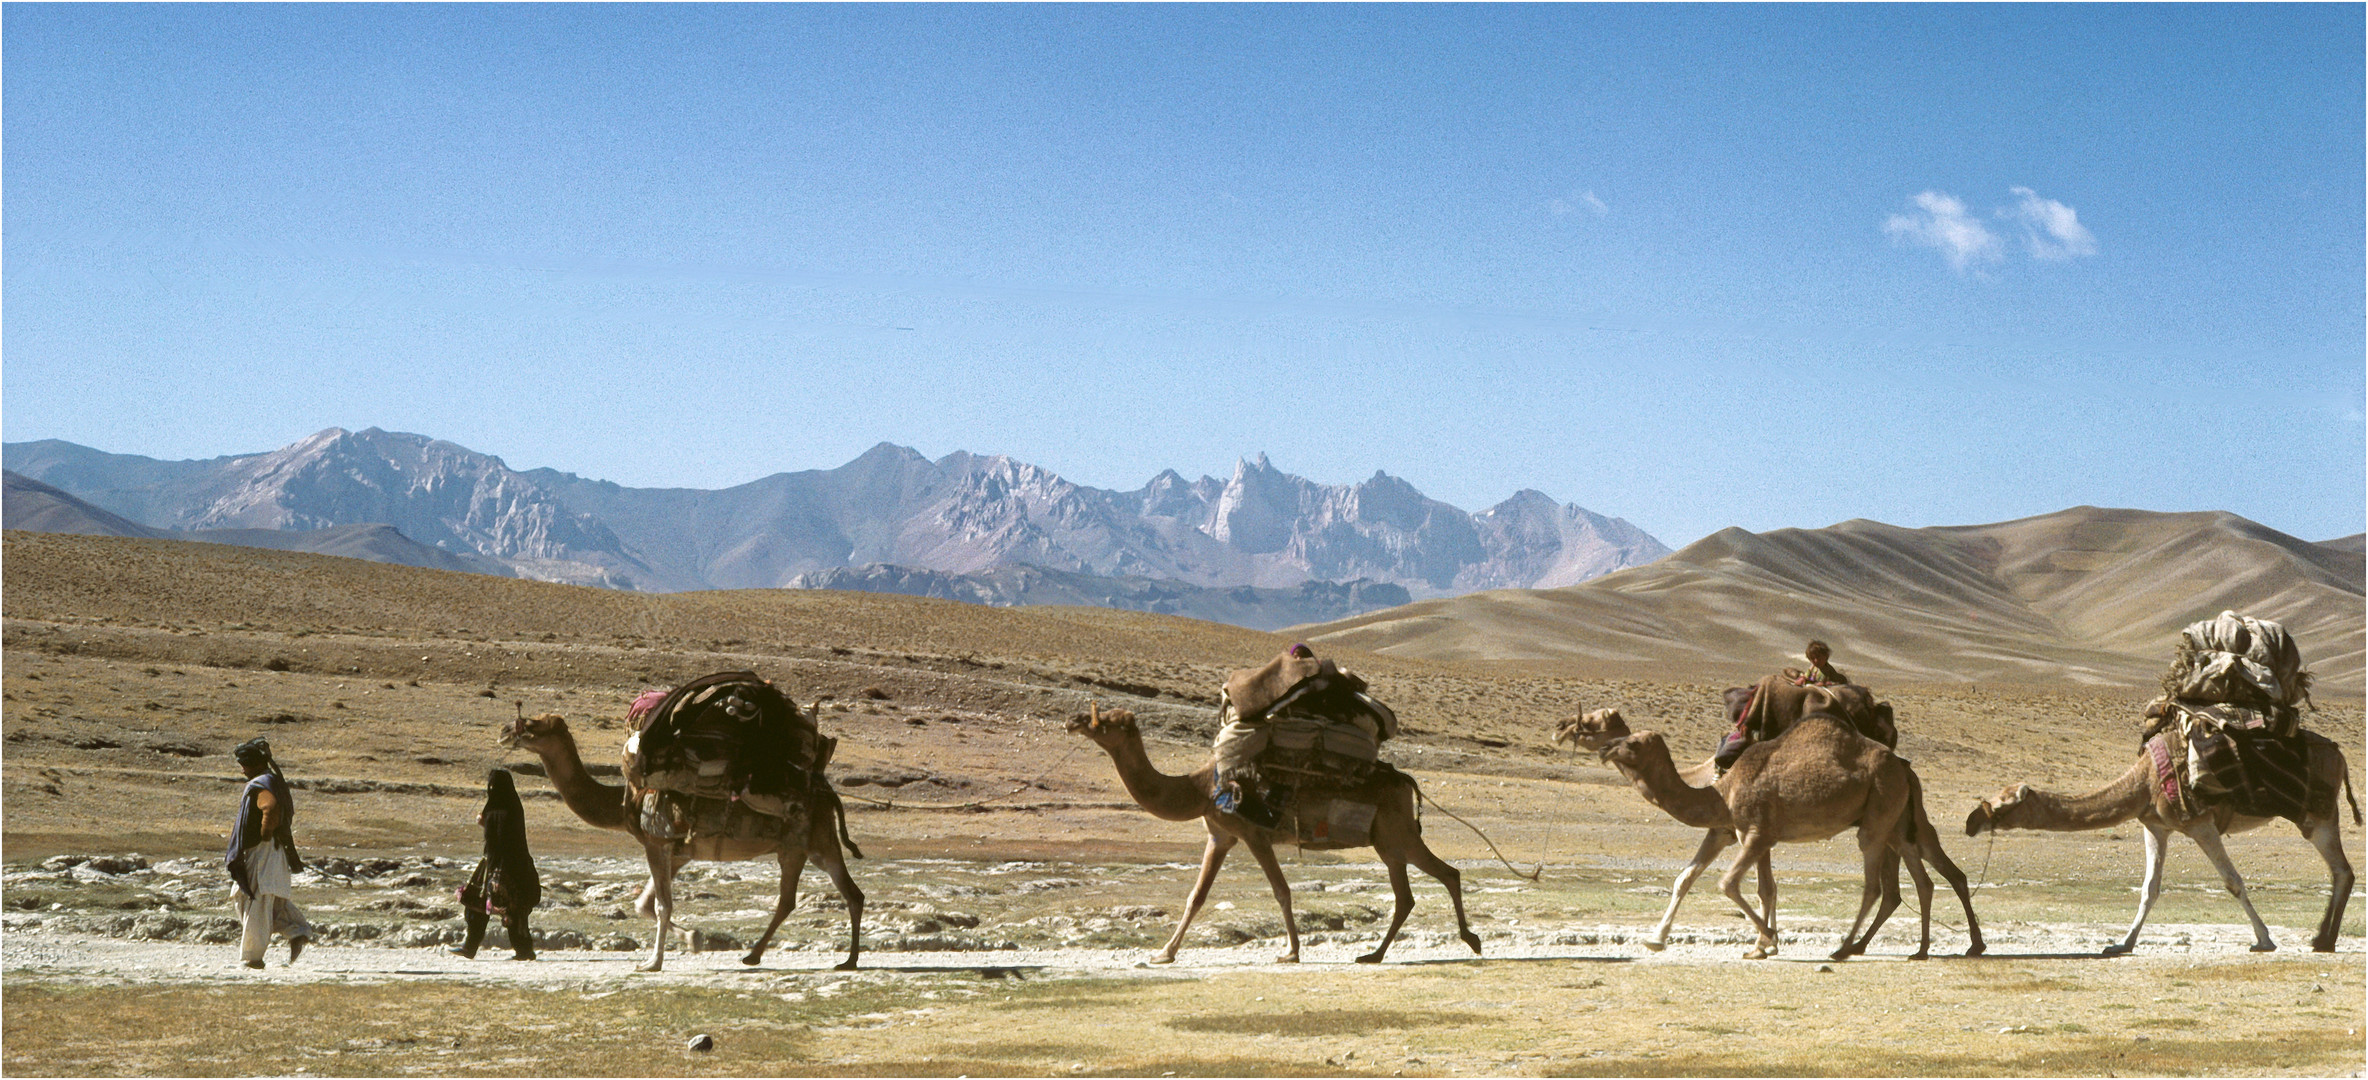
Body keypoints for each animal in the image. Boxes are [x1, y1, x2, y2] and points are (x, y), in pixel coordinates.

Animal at [499, 715, 861, 975]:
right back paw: (847, 960)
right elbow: (645, 904)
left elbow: (660, 905)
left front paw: (653, 962)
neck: (625, 801)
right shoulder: (677, 851)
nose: (504, 732)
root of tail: (827, 792)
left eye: (531, 724)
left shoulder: (656, 842)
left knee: (789, 900)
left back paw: (756, 956)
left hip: (796, 845)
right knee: (850, 893)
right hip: (819, 844)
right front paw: (693, 938)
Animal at [1065, 705, 1468, 966]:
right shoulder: (1220, 835)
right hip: (1389, 843)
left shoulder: (1253, 833)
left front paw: (1291, 952)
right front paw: (1164, 953)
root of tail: (1406, 781)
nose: (1072, 720)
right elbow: (1196, 896)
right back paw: (1375, 954)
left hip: (1397, 833)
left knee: (1445, 874)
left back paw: (1469, 940)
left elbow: (1281, 891)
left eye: (1107, 721)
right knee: (1408, 895)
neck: (1199, 789)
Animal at [1562, 710, 1970, 961]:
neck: (1719, 789)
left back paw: (1844, 949)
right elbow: (1690, 879)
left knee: (1876, 885)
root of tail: (1902, 767)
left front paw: (1769, 939)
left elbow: (1731, 884)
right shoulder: (1733, 832)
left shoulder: (1756, 833)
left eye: (1631, 743)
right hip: (1896, 822)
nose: (1602, 747)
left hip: (1877, 814)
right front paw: (1656, 939)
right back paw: (1918, 948)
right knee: (1917, 878)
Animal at [1951, 734, 2358, 952]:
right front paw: (2121, 944)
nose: (1971, 822)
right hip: (2318, 817)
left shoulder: (2200, 823)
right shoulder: (2155, 826)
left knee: (2342, 870)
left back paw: (2324, 939)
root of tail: (2340, 755)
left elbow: (2233, 882)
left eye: (2002, 805)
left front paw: (2264, 940)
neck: (2143, 782)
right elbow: (2149, 887)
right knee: (2342, 871)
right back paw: (2322, 939)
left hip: (2316, 815)